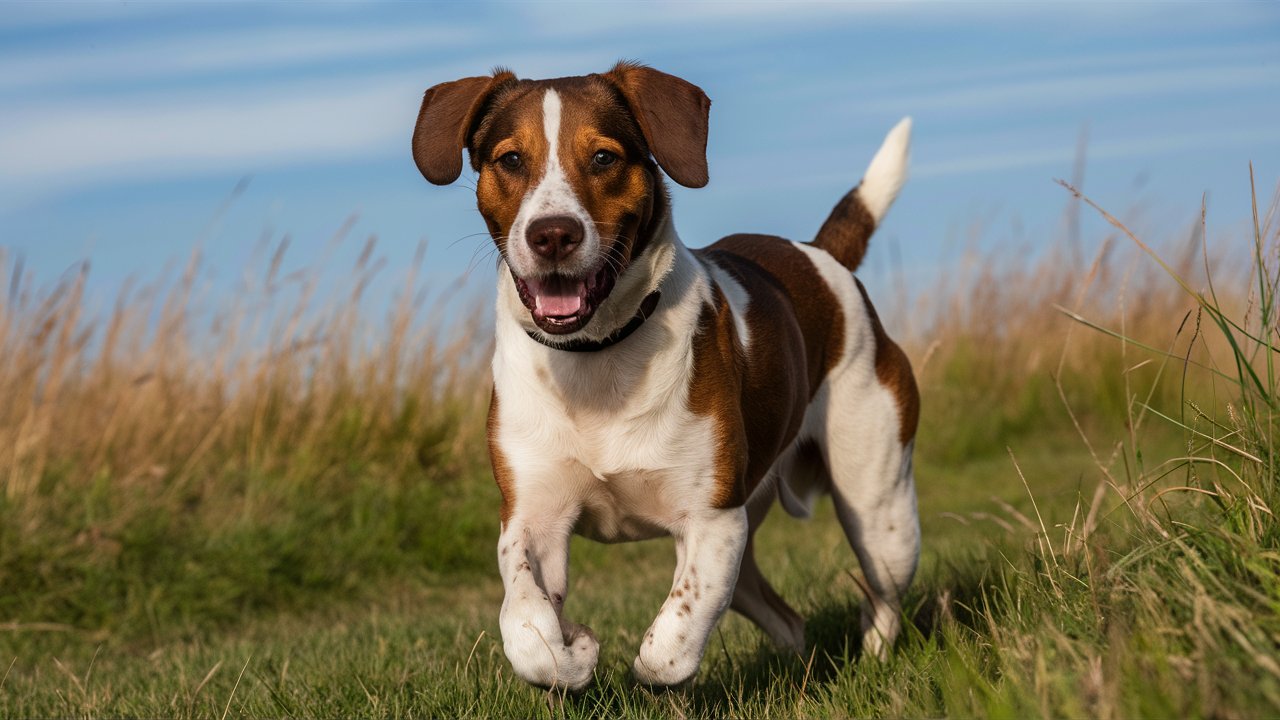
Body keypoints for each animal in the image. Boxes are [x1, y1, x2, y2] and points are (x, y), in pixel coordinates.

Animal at [412, 64, 921, 686]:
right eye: (510, 159)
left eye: (603, 158)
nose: (552, 234)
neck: (596, 356)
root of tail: (823, 257)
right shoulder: (532, 517)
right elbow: (528, 629)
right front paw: (574, 651)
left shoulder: (713, 522)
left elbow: (670, 644)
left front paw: (638, 662)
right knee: (787, 618)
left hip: (879, 512)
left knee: (883, 597)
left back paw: (873, 660)